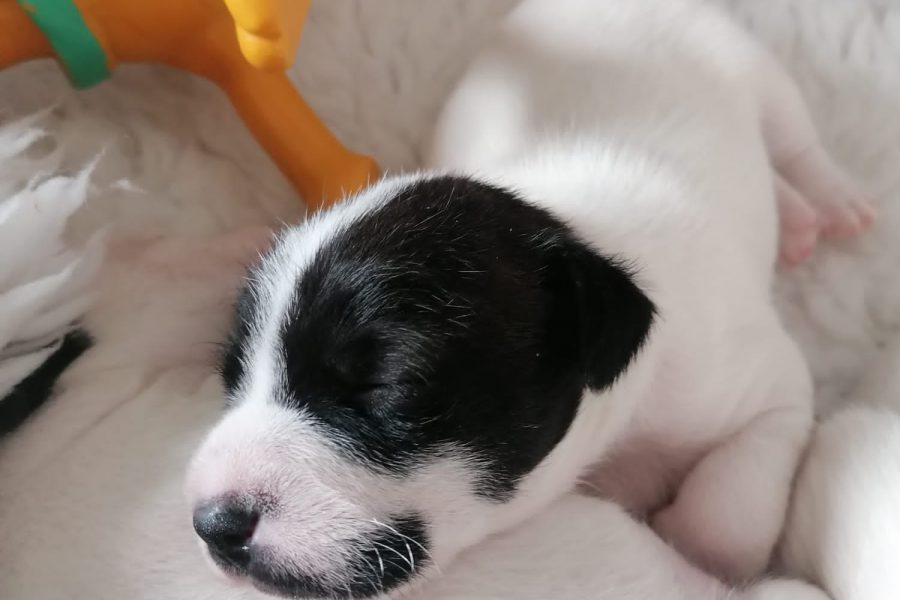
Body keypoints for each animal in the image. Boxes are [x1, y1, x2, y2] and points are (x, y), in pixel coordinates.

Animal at [185, 0, 872, 596]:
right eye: (231, 378)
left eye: (387, 384)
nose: (210, 525)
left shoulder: (769, 388)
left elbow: (729, 510)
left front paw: (696, 548)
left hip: (743, 60)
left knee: (792, 138)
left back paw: (827, 203)